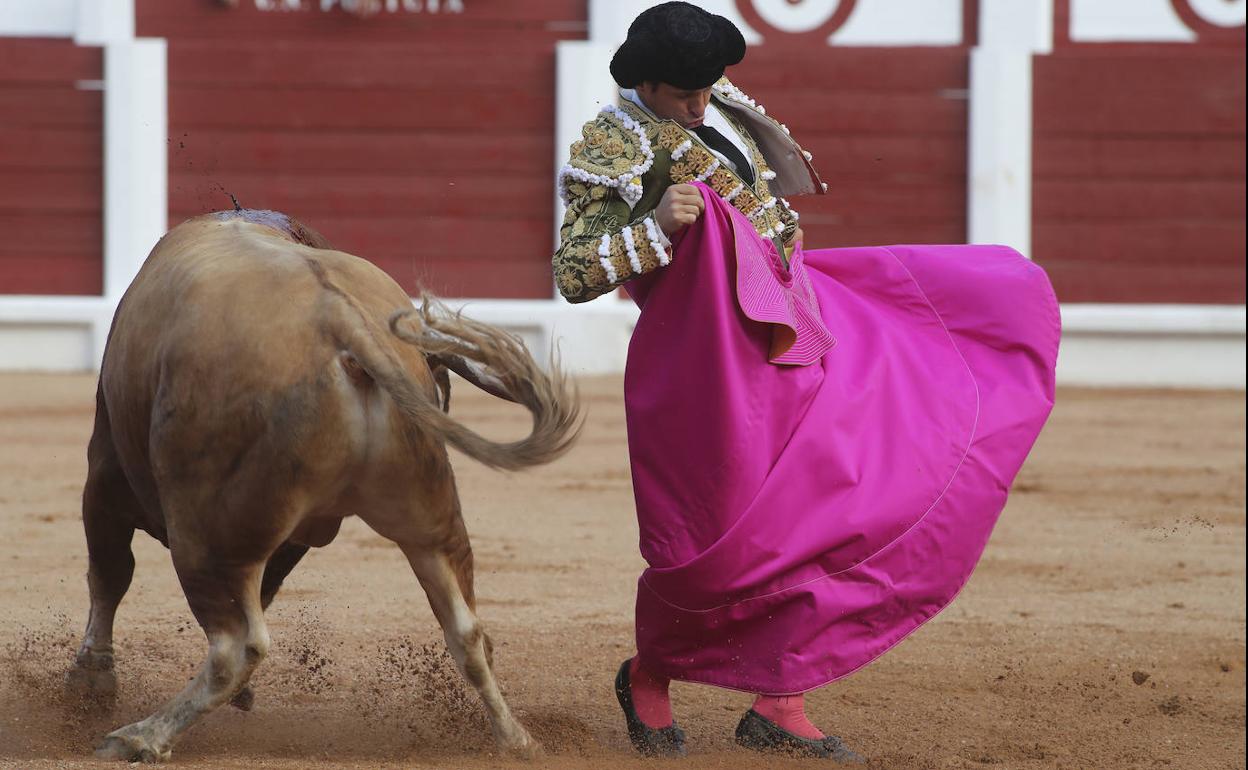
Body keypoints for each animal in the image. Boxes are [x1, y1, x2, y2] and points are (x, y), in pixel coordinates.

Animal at [63, 209, 579, 763]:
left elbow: (111, 574)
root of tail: (338, 317)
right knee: (466, 630)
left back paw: (140, 736)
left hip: (204, 534)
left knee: (236, 644)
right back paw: (516, 739)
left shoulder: (104, 476)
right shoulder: (303, 532)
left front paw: (89, 680)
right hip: (427, 516)